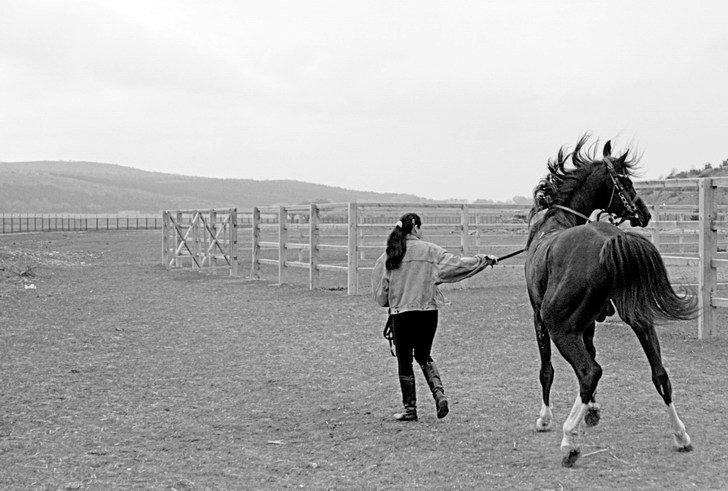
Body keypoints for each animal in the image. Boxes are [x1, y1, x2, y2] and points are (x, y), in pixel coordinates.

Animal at [528, 136, 696, 468]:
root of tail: (609, 238)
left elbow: (547, 370)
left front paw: (544, 418)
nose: (644, 213)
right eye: (626, 181)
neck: (554, 222)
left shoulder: (538, 318)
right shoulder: (589, 323)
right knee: (660, 374)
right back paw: (681, 435)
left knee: (589, 371)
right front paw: (592, 411)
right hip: (638, 318)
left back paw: (569, 441)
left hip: (559, 327)